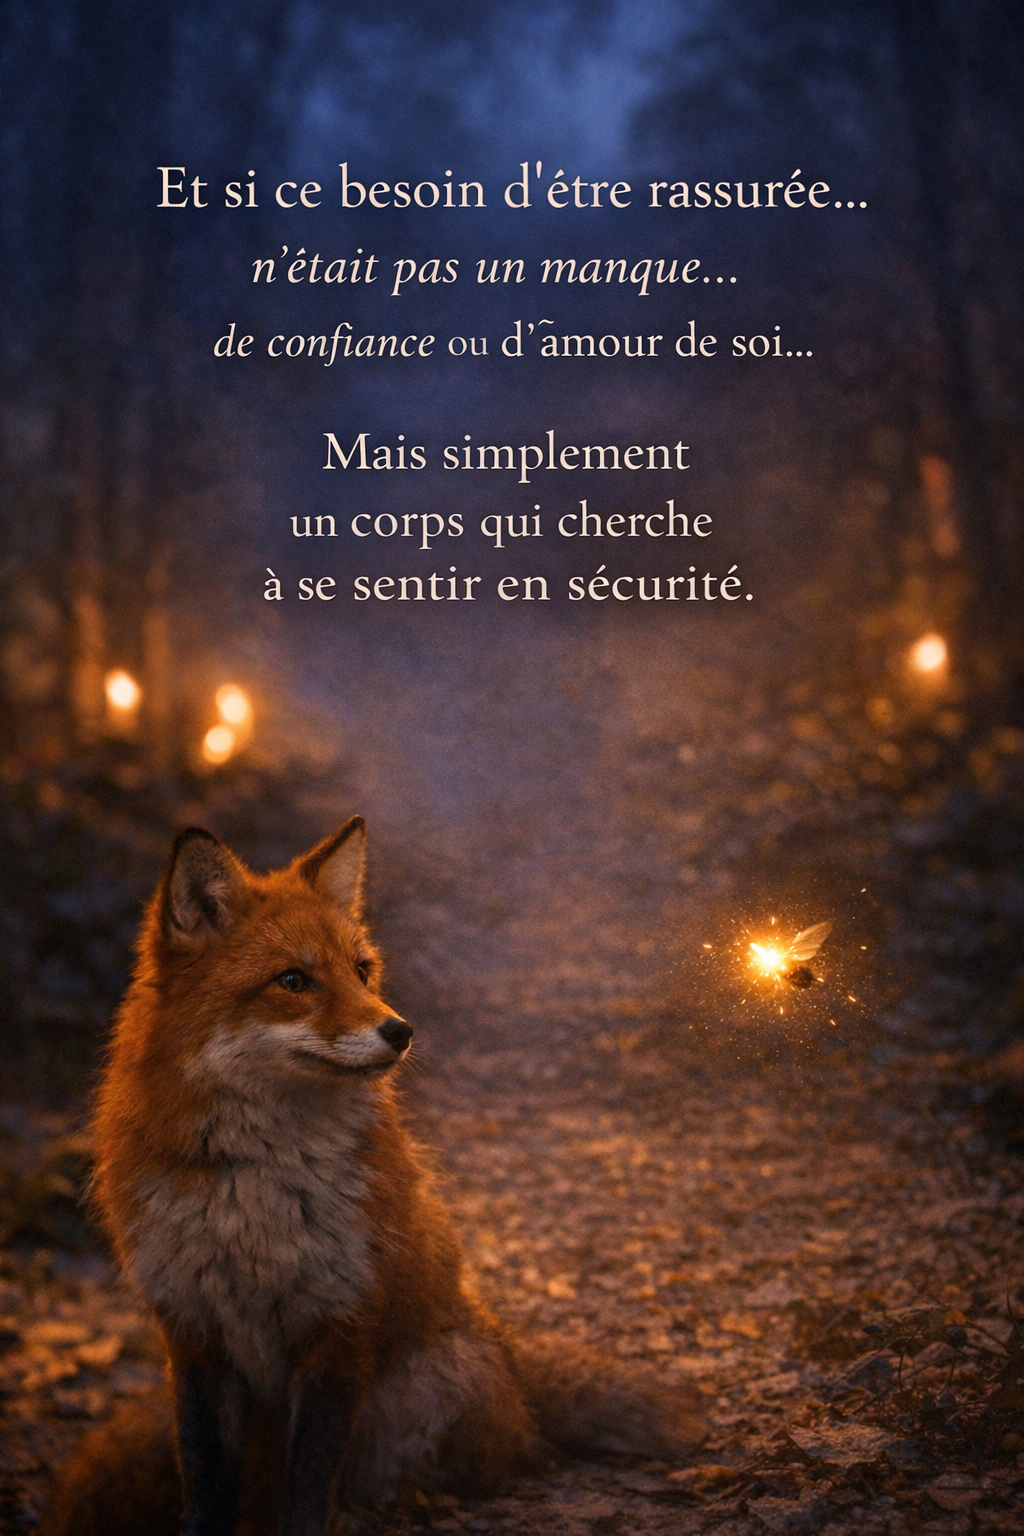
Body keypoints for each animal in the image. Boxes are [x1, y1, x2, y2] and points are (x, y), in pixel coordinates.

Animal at [42, 819, 705, 1536]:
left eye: (361, 971)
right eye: (294, 980)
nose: (401, 1030)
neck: (253, 1197)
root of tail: (508, 1357)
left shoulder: (339, 1324)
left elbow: (308, 1488)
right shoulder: (192, 1334)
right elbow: (205, 1484)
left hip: (428, 1392)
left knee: (476, 1466)